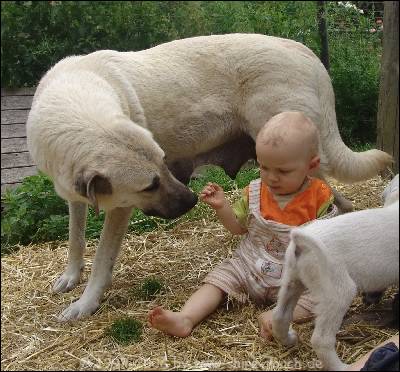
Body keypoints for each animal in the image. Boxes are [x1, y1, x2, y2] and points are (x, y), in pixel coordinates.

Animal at [26, 33, 392, 322]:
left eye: (162, 166)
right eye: (152, 182)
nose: (191, 200)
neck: (73, 104)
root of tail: (305, 51)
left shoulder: (119, 209)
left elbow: (102, 257)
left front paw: (85, 303)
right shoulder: (74, 195)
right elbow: (75, 237)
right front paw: (71, 276)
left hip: (299, 157)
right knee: (342, 203)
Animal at [270, 177, 398, 370]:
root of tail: (301, 243)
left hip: (292, 281)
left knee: (280, 317)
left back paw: (289, 339)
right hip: (338, 292)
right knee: (321, 340)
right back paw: (342, 367)